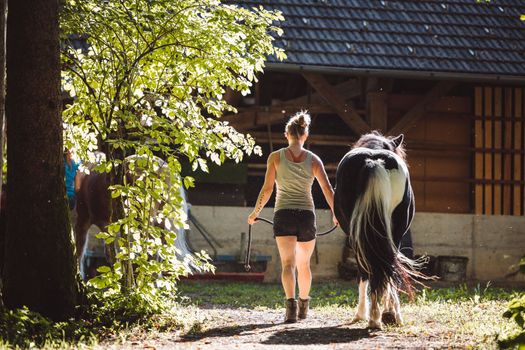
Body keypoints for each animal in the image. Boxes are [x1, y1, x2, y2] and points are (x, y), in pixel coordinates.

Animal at [334, 130, 420, 330]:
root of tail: (373, 161)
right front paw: (389, 312)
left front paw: (363, 314)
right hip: (393, 233)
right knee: (387, 266)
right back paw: (383, 316)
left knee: (373, 268)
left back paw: (374, 317)